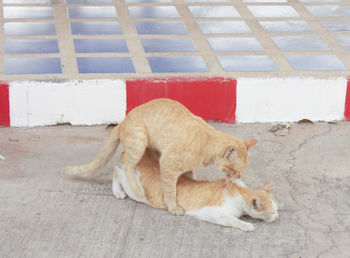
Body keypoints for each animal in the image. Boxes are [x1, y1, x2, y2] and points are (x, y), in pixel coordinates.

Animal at [64, 98, 258, 215]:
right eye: (236, 170)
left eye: (242, 171)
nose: (239, 177)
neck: (207, 142)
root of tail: (122, 122)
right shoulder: (167, 164)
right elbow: (170, 190)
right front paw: (173, 207)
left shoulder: (184, 168)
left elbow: (189, 179)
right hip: (139, 141)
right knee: (125, 163)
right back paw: (135, 188)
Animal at [112, 149, 278, 232]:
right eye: (272, 212)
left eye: (277, 210)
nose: (277, 218)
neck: (238, 191)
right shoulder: (209, 212)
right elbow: (231, 219)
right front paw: (246, 225)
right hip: (136, 191)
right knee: (117, 171)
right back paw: (118, 191)